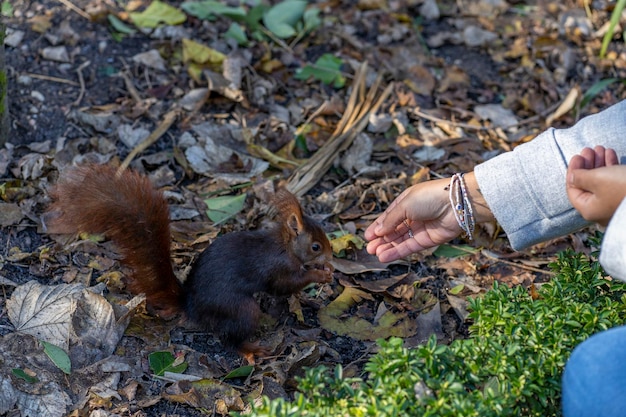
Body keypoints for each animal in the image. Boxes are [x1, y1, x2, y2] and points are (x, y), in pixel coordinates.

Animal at [44, 163, 334, 360]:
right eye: (316, 246)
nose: (332, 256)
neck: (285, 245)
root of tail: (191, 306)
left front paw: (326, 271)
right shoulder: (278, 266)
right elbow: (285, 285)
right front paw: (321, 274)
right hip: (241, 309)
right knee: (231, 337)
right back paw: (250, 349)